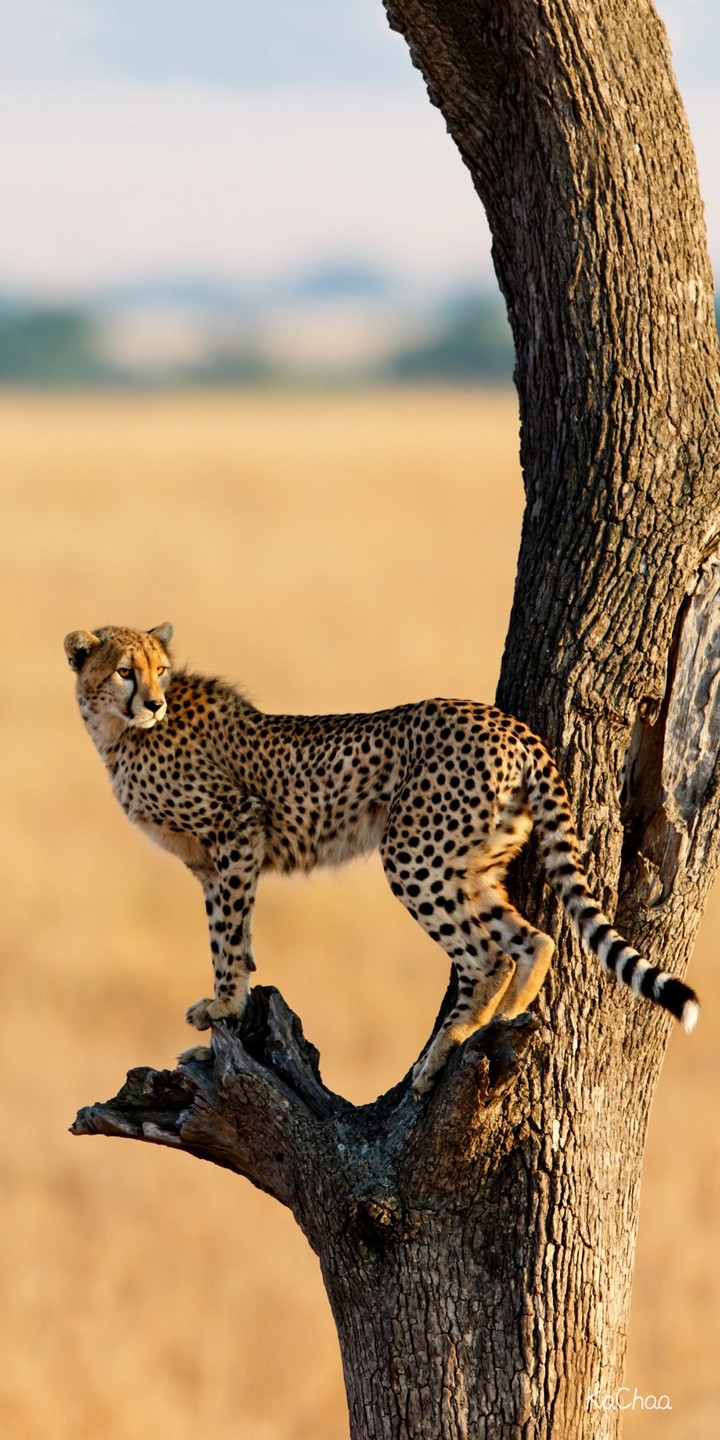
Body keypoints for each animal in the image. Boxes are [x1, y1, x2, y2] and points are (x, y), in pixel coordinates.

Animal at [64, 622, 700, 1095]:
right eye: (126, 670)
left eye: (160, 669)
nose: (154, 702)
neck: (119, 732)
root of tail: (509, 724)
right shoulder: (210, 861)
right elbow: (234, 937)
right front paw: (224, 1022)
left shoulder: (237, 827)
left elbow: (227, 938)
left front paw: (222, 1007)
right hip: (471, 861)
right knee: (533, 939)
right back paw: (506, 1017)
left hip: (413, 854)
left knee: (487, 954)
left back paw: (446, 1050)